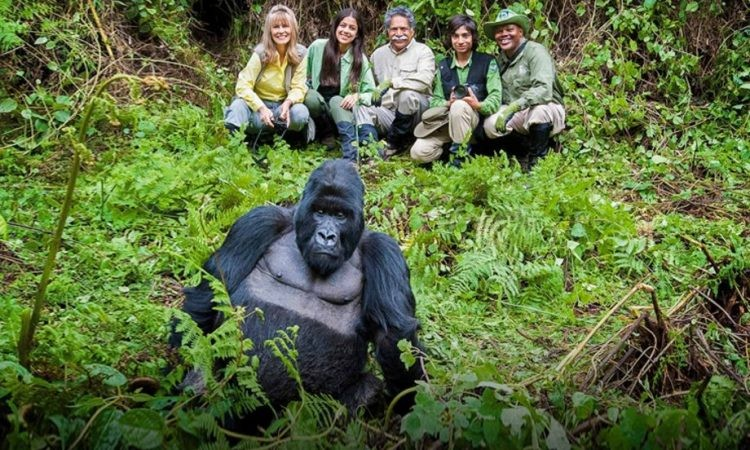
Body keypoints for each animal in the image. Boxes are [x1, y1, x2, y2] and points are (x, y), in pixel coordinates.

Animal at [173, 159, 426, 414]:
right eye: (320, 212)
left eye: (340, 215)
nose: (326, 236)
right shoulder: (258, 221)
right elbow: (212, 289)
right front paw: (187, 367)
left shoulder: (384, 251)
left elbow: (393, 336)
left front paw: (408, 403)